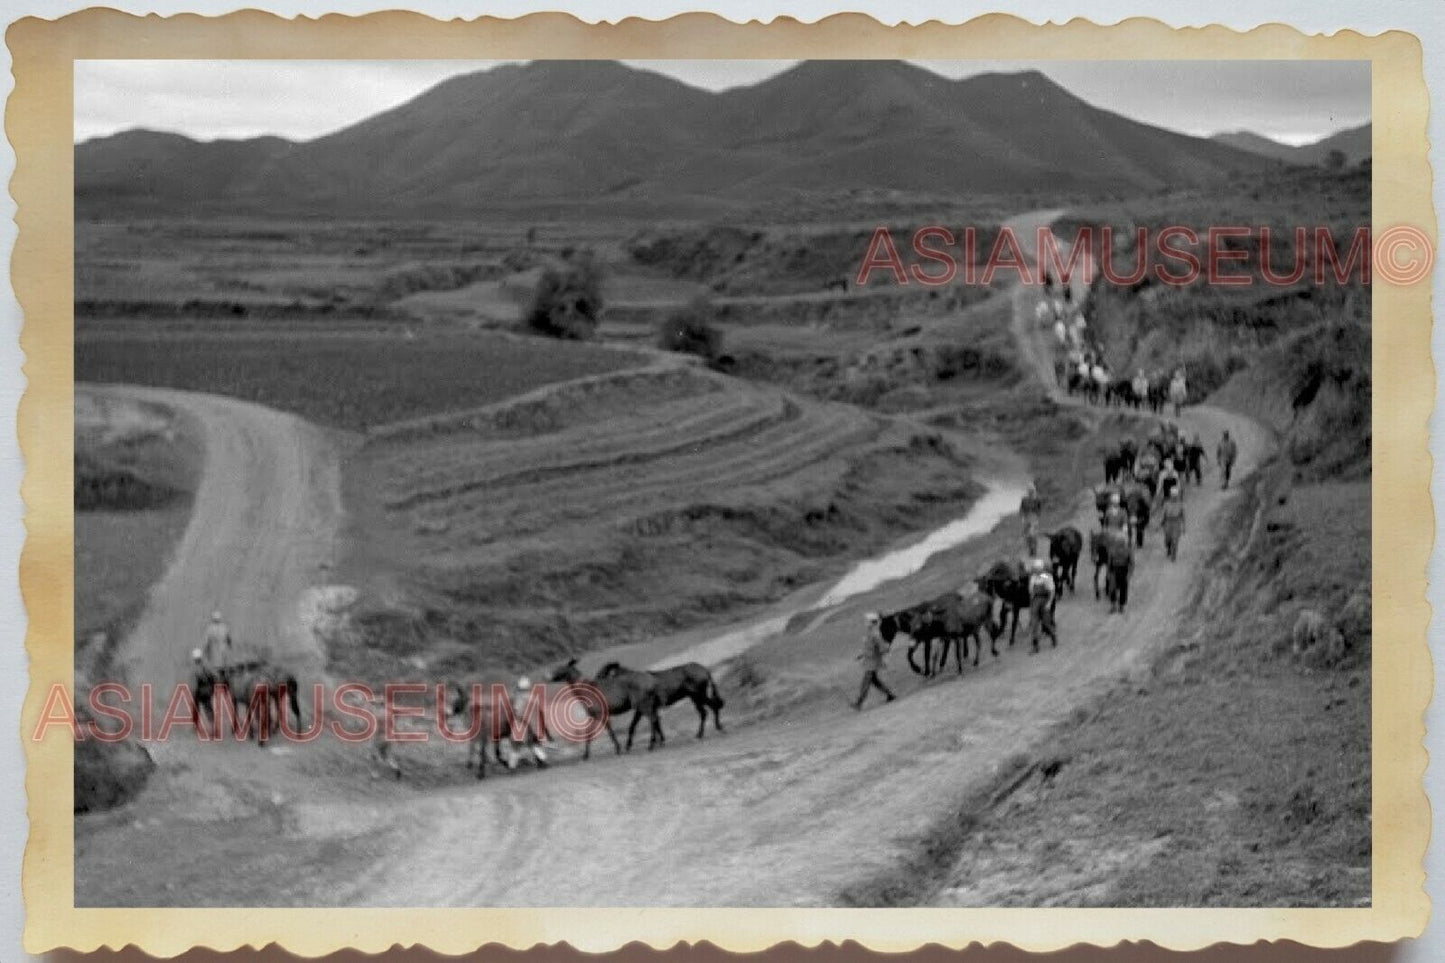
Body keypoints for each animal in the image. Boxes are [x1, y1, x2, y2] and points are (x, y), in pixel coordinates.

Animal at [595, 659, 728, 734]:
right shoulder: (647, 708)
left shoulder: (645, 708)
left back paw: (714, 728)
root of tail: (704, 669)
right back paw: (705, 732)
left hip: (698, 696)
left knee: (712, 707)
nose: (595, 684)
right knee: (706, 711)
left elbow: (650, 723)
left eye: (602, 674)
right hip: (695, 697)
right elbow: (651, 723)